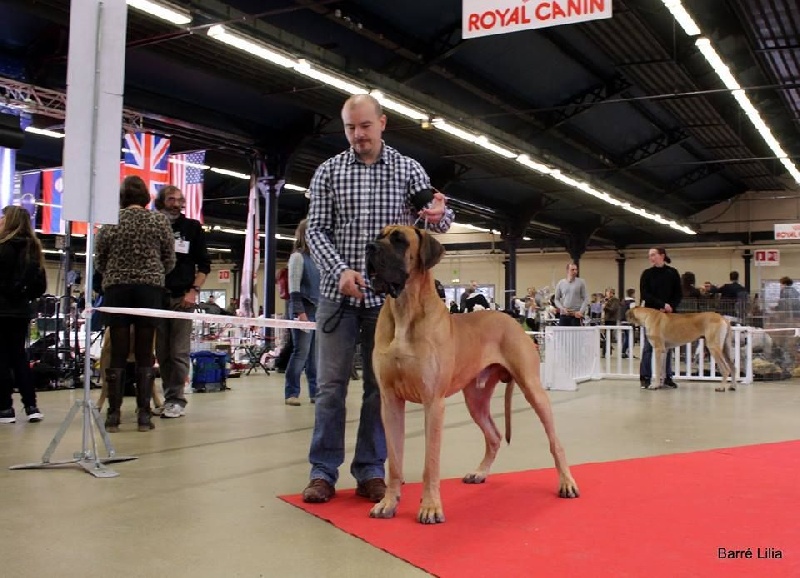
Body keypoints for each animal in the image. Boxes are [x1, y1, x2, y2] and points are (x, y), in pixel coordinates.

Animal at [366, 225, 580, 520]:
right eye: (379, 235)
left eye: (399, 241)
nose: (369, 248)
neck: (404, 310)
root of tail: (510, 319)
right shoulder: (390, 402)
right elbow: (394, 462)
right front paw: (388, 502)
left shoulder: (433, 403)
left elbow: (430, 462)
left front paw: (430, 506)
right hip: (475, 399)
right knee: (494, 435)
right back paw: (480, 472)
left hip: (532, 388)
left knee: (554, 441)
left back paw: (566, 482)